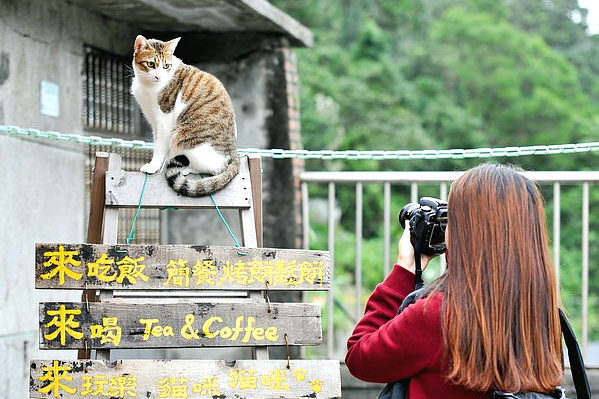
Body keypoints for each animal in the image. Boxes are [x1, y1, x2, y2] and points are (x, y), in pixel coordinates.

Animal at [131, 34, 239, 197]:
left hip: (182, 137)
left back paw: (186, 169)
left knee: (213, 168)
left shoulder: (164, 120)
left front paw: (153, 166)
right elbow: (157, 142)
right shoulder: (154, 121)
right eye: (150, 64)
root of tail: (233, 153)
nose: (158, 77)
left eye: (166, 66)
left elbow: (159, 147)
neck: (147, 85)